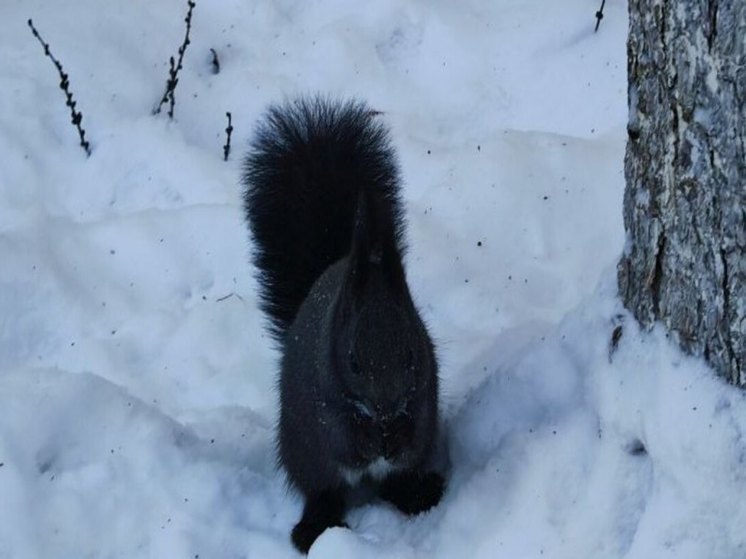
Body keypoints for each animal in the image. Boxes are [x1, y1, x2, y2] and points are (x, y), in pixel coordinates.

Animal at [243, 98, 442, 552]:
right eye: (352, 361)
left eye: (410, 353)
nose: (386, 410)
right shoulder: (326, 401)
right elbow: (343, 435)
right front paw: (369, 443)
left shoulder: (424, 386)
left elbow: (414, 419)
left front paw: (396, 435)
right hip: (305, 454)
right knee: (324, 491)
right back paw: (314, 527)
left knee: (397, 482)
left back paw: (420, 493)